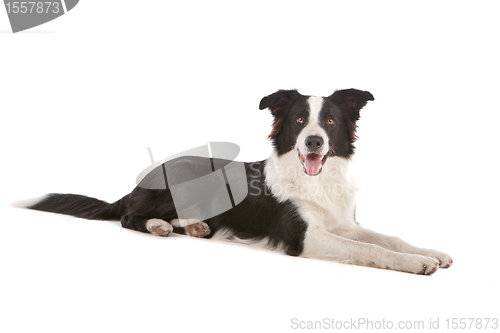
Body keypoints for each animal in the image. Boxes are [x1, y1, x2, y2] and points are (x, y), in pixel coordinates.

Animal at [22, 89, 454, 274]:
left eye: (330, 121)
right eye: (299, 119)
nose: (313, 141)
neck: (315, 180)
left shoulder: (341, 223)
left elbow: (387, 239)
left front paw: (431, 252)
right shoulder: (304, 237)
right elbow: (372, 250)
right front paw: (417, 263)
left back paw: (195, 227)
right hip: (184, 177)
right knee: (130, 216)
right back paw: (160, 225)